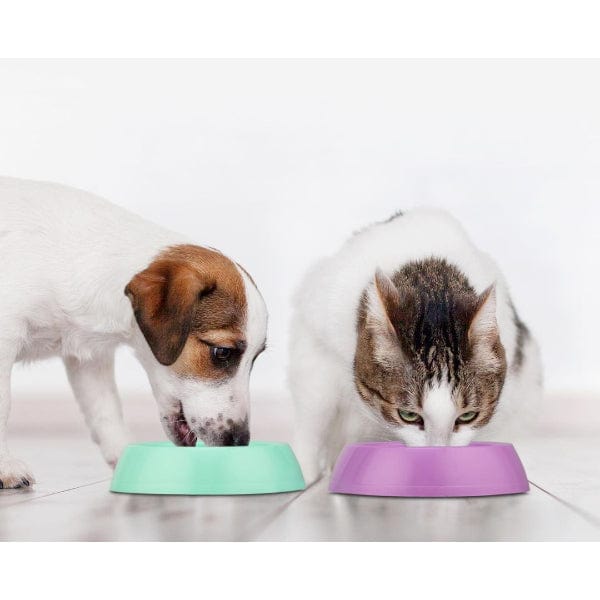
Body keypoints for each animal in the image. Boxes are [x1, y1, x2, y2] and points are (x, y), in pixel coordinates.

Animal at [0, 177, 267, 489]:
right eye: (222, 352)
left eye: (256, 358)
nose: (240, 441)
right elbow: (3, 405)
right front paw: (5, 467)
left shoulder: (90, 359)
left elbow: (106, 409)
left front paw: (124, 454)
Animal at [289, 208, 542, 482]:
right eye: (408, 415)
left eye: (467, 416)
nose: (436, 454)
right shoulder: (316, 339)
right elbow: (314, 414)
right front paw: (302, 470)